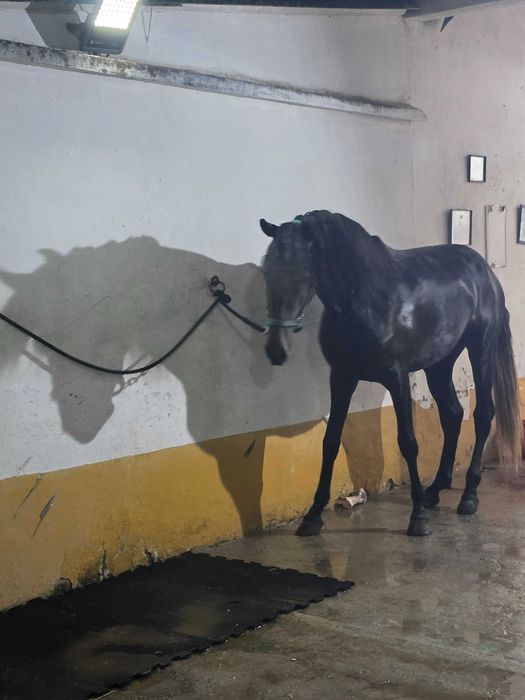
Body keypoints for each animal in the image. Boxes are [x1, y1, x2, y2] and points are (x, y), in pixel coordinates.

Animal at [260, 209, 522, 537]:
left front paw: (417, 518)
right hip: (439, 364)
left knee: (483, 414)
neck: (365, 299)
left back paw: (468, 496)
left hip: (480, 350)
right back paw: (435, 490)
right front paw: (313, 516)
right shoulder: (342, 377)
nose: (275, 350)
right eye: (267, 272)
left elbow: (408, 442)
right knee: (452, 415)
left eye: (302, 274)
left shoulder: (397, 377)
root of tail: (487, 274)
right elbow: (330, 442)